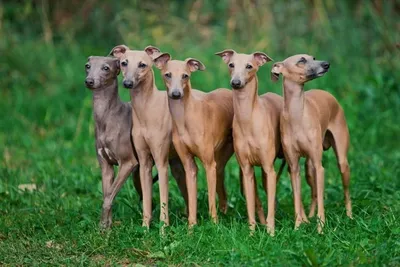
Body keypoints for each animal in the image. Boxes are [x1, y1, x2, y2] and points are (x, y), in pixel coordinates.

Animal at [109, 45, 189, 229]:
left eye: (142, 64)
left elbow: (164, 200)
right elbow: (146, 202)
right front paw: (145, 229)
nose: (128, 83)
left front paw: (163, 230)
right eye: (124, 63)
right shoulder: (144, 163)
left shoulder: (161, 164)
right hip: (170, 167)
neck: (147, 109)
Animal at [153, 53, 234, 227]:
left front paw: (214, 226)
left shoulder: (209, 165)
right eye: (167, 74)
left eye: (186, 76)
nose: (176, 94)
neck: (185, 118)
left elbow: (211, 201)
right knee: (222, 190)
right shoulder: (189, 166)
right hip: (220, 162)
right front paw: (191, 228)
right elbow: (191, 200)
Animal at [217, 49, 286, 236]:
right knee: (258, 201)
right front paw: (252, 234)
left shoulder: (269, 169)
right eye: (231, 65)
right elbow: (250, 207)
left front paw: (271, 233)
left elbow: (270, 204)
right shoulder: (247, 169)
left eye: (249, 66)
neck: (248, 118)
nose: (236, 83)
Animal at [270, 54, 352, 232]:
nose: (327, 64)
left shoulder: (320, 168)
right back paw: (310, 216)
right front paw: (297, 227)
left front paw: (321, 229)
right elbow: (297, 198)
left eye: (313, 57)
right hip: (308, 169)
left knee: (345, 192)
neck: (297, 115)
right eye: (301, 60)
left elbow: (322, 199)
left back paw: (350, 216)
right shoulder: (294, 168)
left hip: (341, 162)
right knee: (314, 193)